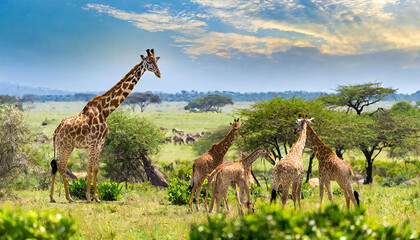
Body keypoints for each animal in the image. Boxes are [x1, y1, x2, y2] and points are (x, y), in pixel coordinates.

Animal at [49, 48, 161, 202]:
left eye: (157, 60)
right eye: (149, 62)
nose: (159, 73)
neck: (106, 111)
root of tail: (56, 131)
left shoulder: (100, 142)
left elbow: (96, 168)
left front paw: (96, 197)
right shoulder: (93, 142)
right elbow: (89, 167)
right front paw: (88, 197)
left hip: (65, 146)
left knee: (56, 165)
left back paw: (53, 197)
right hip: (65, 145)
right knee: (61, 166)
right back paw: (69, 197)